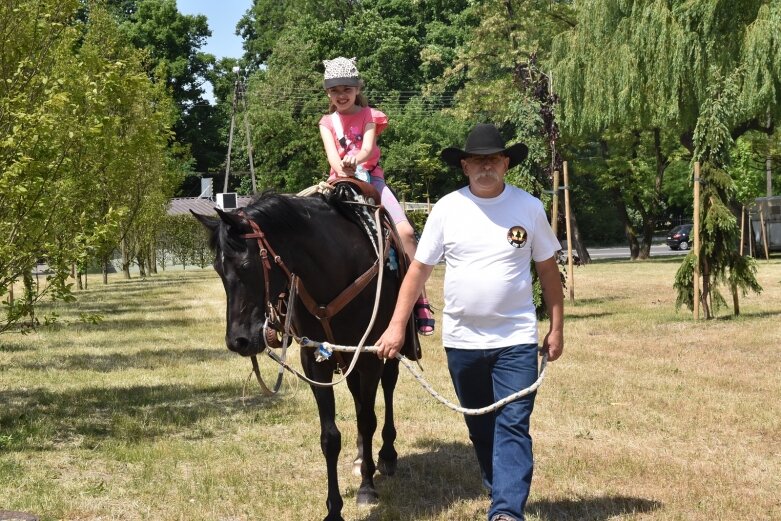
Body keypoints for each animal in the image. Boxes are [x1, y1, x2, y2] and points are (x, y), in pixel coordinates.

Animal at [194, 188, 420, 520]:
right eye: (218, 270)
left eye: (246, 266)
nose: (238, 341)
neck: (337, 269)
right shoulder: (315, 360)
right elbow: (330, 437)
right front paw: (334, 509)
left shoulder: (369, 357)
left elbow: (368, 420)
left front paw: (367, 489)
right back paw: (360, 457)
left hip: (387, 353)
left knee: (386, 392)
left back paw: (387, 455)